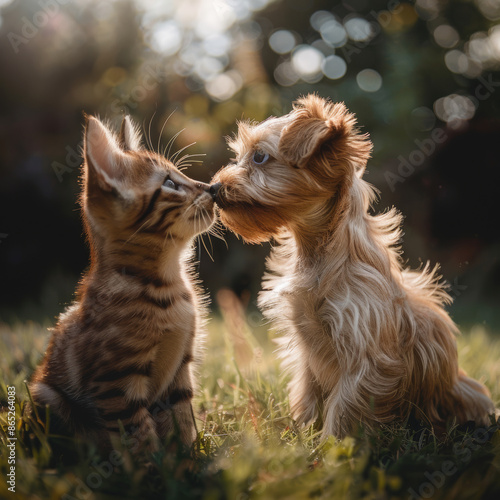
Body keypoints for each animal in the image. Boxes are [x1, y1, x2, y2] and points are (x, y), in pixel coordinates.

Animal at [27, 115, 215, 456]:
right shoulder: (116, 382)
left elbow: (182, 421)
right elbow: (138, 435)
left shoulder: (180, 371)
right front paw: (153, 468)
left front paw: (188, 460)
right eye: (170, 184)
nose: (213, 188)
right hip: (47, 396)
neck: (166, 285)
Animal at [211, 94, 496, 438]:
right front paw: (302, 433)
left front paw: (327, 446)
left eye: (260, 157)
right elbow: (307, 394)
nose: (213, 187)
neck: (318, 255)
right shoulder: (307, 349)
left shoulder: (367, 357)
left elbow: (344, 407)